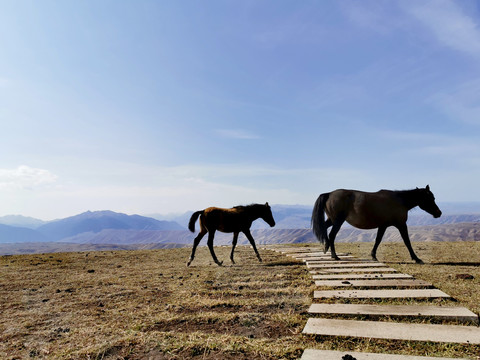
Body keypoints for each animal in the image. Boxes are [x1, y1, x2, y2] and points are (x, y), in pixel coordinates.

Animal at [312, 187, 442, 262]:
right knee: (332, 235)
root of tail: (329, 194)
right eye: (430, 198)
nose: (439, 213)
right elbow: (407, 241)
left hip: (332, 220)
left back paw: (326, 247)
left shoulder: (383, 226)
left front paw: (373, 256)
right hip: (338, 221)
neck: (400, 201)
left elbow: (378, 240)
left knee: (324, 228)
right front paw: (416, 258)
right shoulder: (401, 225)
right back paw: (334, 256)